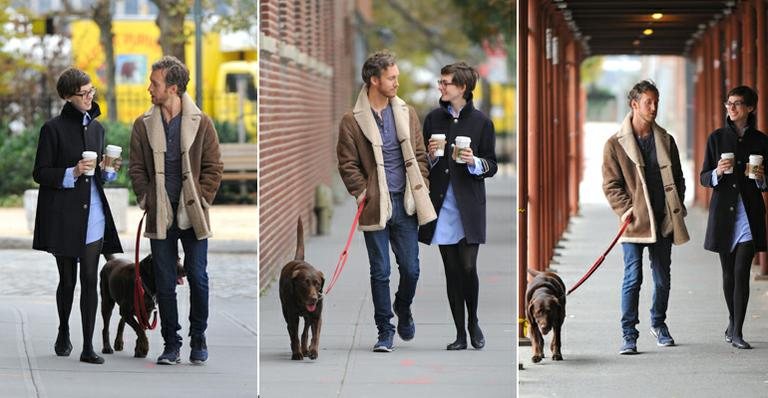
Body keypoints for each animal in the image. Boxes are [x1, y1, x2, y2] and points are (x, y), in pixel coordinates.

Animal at [280, 218, 324, 360]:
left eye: (317, 284)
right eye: (305, 284)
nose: (314, 299)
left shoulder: (316, 316)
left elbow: (315, 336)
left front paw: (313, 351)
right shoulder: (292, 316)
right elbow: (294, 336)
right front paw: (296, 353)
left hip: (308, 317)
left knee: (305, 332)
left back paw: (306, 349)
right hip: (286, 312)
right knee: (290, 330)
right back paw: (299, 349)